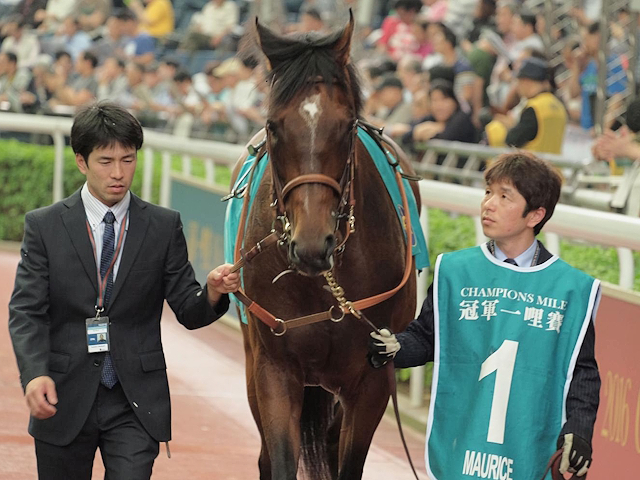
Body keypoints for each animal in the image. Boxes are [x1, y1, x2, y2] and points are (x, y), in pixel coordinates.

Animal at [227, 14, 422, 480]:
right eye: (274, 125)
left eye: (348, 125)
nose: (312, 245)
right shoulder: (274, 370)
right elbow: (279, 459)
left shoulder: (372, 380)